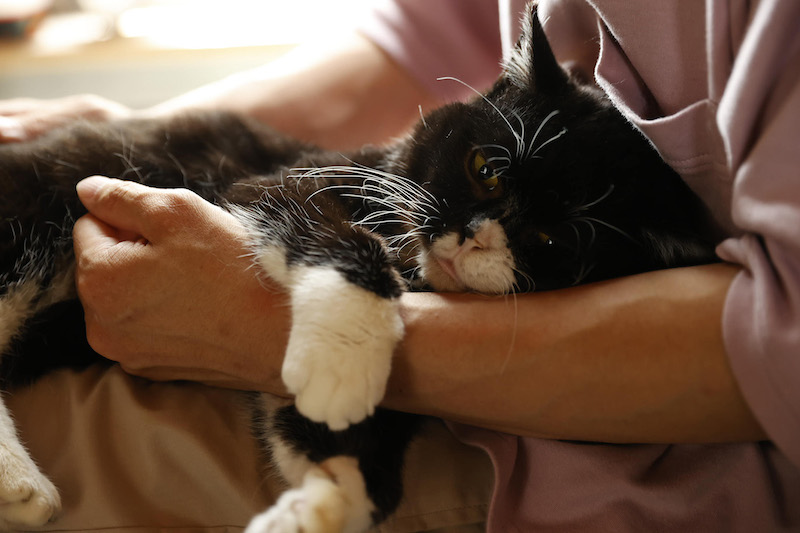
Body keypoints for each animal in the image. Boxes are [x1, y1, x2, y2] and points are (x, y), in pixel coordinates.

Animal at [0, 5, 720, 532]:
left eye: (548, 240)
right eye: (486, 168)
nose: (472, 237)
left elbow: (337, 440)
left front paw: (321, 502)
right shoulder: (271, 184)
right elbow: (340, 237)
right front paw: (346, 357)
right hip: (30, 217)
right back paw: (19, 480)